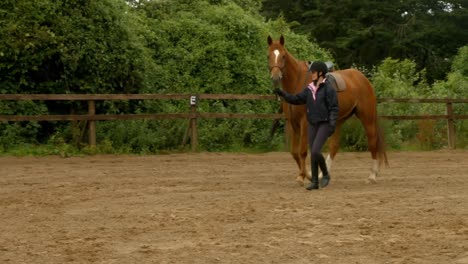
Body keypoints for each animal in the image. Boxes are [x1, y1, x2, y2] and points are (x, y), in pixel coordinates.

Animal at [266, 34, 388, 184]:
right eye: (268, 56)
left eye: (283, 56)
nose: (275, 77)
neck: (297, 83)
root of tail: (363, 79)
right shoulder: (292, 123)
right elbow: (294, 152)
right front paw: (304, 175)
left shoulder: (304, 123)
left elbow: (302, 151)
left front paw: (305, 176)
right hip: (339, 120)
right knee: (334, 146)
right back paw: (323, 175)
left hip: (367, 118)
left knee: (373, 142)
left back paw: (372, 175)